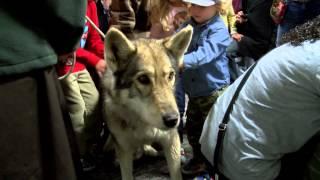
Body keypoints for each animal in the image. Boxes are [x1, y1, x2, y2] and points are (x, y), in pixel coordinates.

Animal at [101, 25, 192, 180]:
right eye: (143, 79)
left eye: (170, 76)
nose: (173, 120)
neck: (144, 122)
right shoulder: (124, 150)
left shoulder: (171, 141)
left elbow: (176, 174)